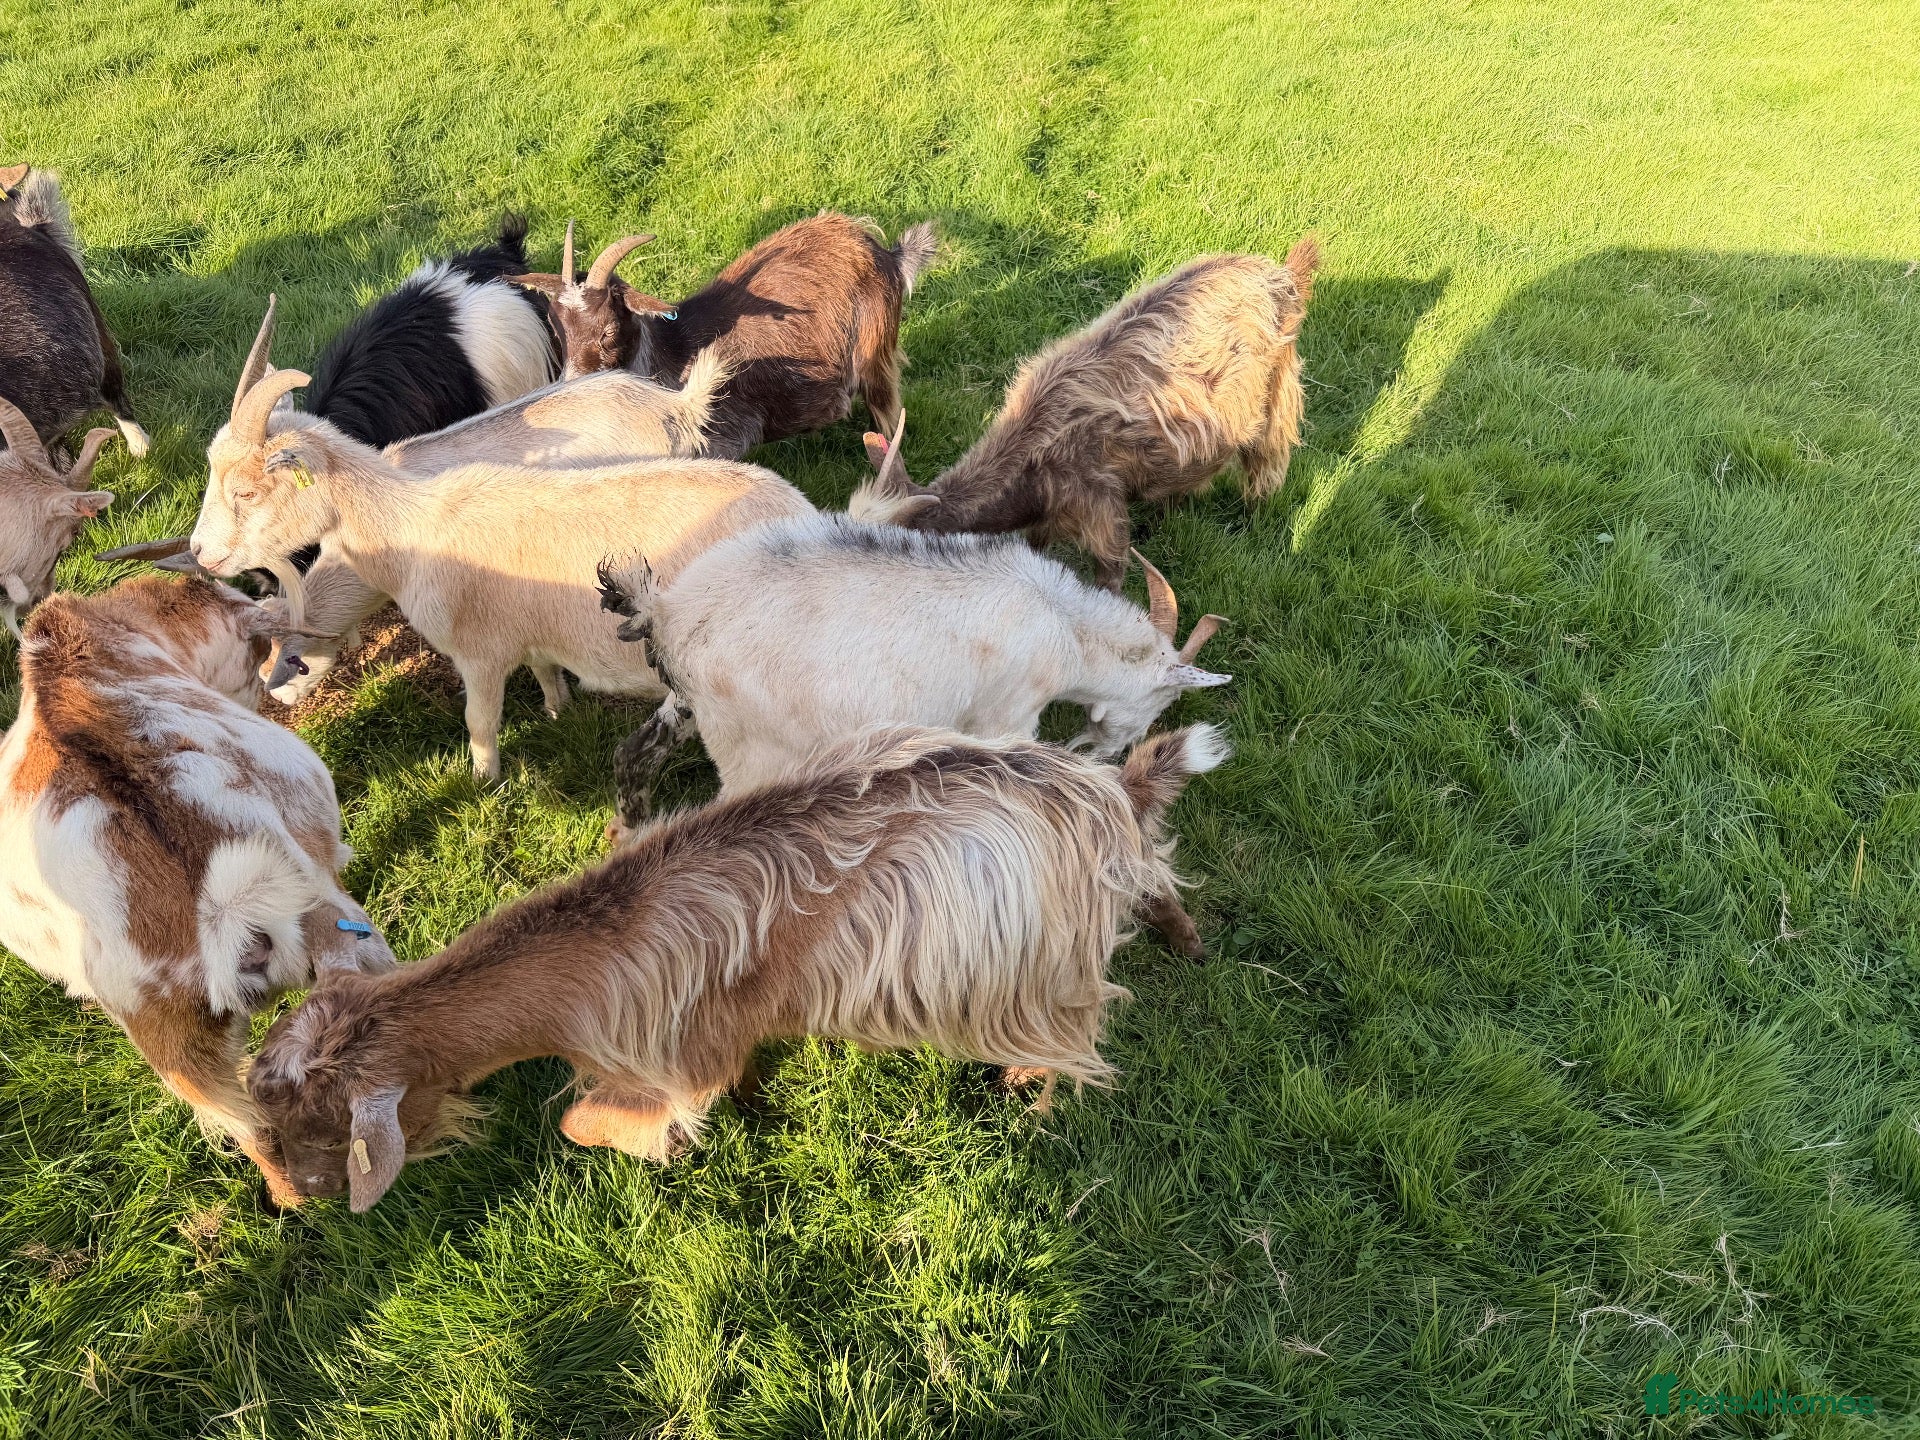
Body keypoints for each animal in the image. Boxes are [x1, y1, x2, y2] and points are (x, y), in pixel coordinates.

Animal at [189, 320, 812, 779]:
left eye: (245, 490)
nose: (199, 552)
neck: (410, 517)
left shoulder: (480, 650)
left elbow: (480, 722)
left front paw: (484, 783)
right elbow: (541, 664)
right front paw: (558, 708)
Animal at [247, 723, 1228, 1210]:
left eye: (323, 1128)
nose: (298, 1200)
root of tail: (1104, 790)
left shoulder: (676, 1052)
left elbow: (586, 1125)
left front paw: (673, 1147)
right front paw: (759, 1109)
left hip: (1040, 972)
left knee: (1079, 1025)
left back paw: (1034, 1090)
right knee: (1160, 874)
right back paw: (1190, 942)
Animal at [850, 240, 1320, 589]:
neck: (1033, 453)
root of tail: (1278, 274)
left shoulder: (1101, 507)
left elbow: (1110, 575)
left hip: (1276, 397)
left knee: (1266, 463)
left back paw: (1252, 519)